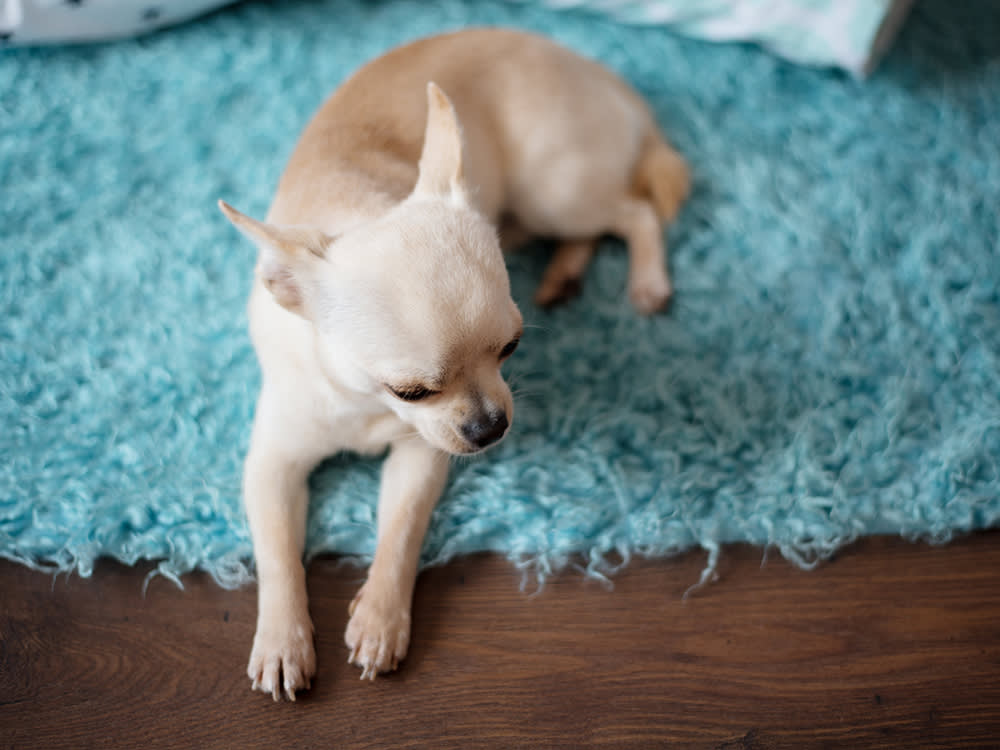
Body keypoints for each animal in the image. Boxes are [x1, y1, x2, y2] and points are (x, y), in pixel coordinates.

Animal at [219, 26, 688, 704]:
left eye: (511, 349)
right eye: (411, 390)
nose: (492, 426)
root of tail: (595, 70)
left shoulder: (423, 453)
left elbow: (400, 529)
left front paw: (381, 619)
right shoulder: (274, 464)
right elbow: (278, 553)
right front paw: (283, 640)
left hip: (552, 192)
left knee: (632, 213)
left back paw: (647, 280)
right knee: (602, 224)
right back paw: (565, 273)